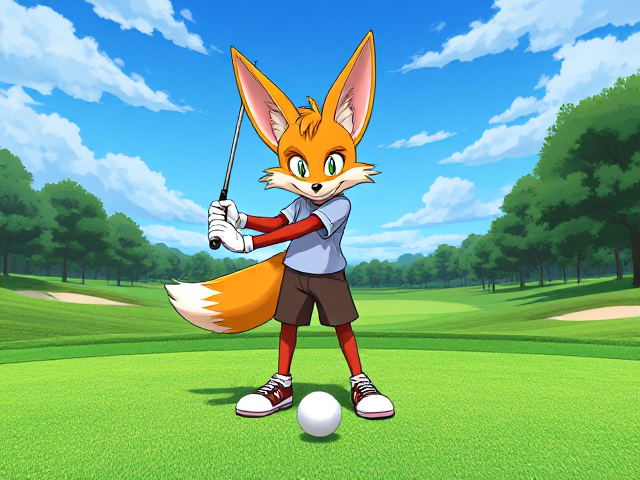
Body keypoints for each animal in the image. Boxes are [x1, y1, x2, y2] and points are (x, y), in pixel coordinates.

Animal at [165, 31, 394, 420]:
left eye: (333, 164)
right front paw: (229, 215)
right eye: (299, 167)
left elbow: (300, 227)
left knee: (344, 330)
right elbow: (281, 221)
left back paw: (367, 394)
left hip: (332, 292)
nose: (315, 186)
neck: (316, 202)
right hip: (294, 290)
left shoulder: (336, 208)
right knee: (289, 327)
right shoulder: (296, 212)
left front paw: (234, 238)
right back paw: (275, 392)